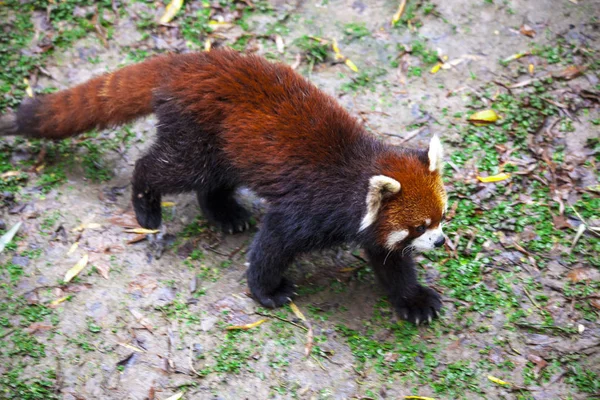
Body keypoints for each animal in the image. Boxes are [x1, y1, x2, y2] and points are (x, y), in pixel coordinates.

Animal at [1, 49, 446, 324]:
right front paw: (267, 291)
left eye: (442, 217)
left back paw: (225, 214)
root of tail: (187, 63)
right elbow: (274, 243)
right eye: (419, 226)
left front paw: (414, 300)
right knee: (159, 168)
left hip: (223, 145)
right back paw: (147, 207)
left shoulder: (370, 228)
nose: (441, 241)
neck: (356, 174)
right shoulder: (309, 207)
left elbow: (390, 263)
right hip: (196, 139)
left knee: (212, 182)